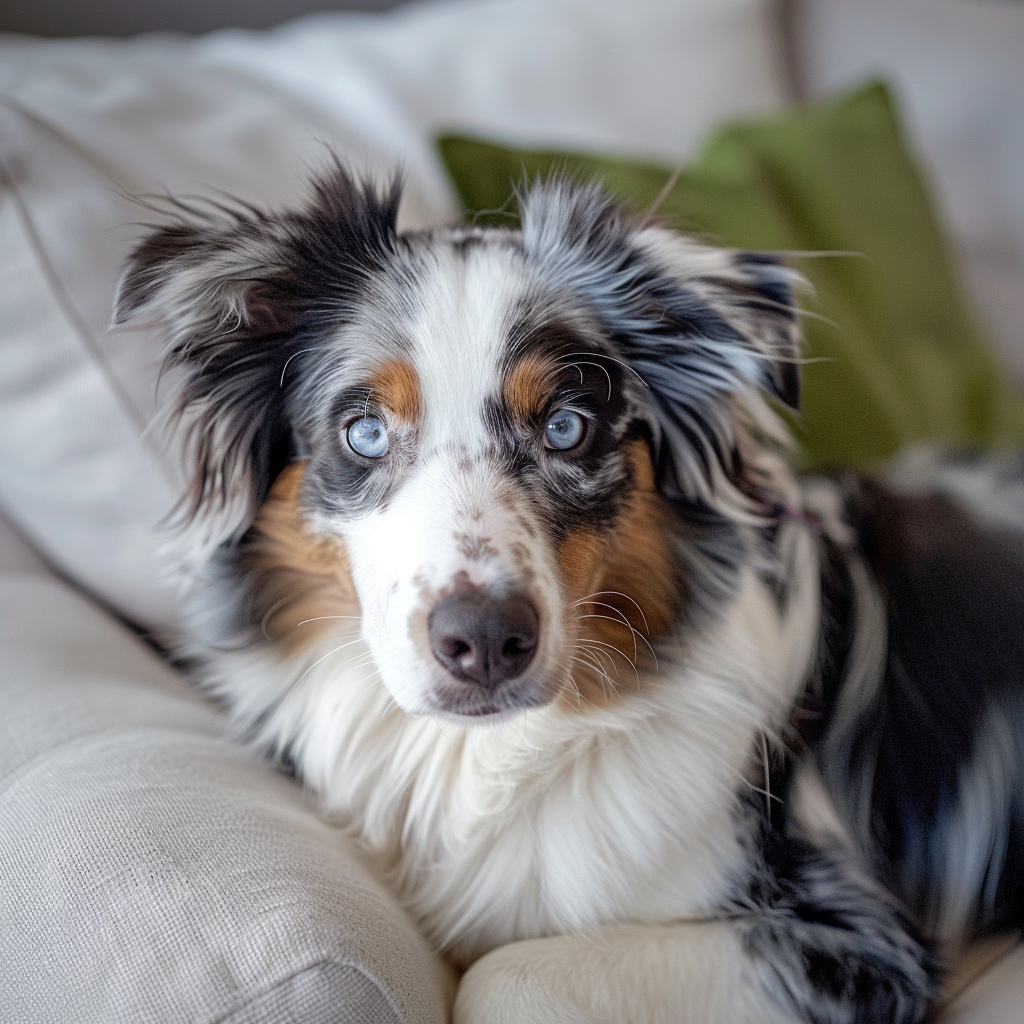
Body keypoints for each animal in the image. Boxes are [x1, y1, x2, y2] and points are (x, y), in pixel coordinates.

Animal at [114, 169, 1024, 1024]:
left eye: (566, 428)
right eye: (363, 432)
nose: (484, 641)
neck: (490, 757)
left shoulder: (854, 941)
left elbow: (503, 976)